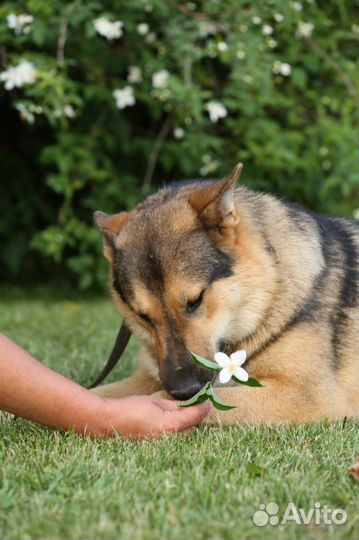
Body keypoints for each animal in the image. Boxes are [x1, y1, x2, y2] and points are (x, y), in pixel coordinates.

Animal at [90, 162, 359, 424]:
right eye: (143, 316)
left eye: (195, 300)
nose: (184, 390)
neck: (269, 297)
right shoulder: (145, 378)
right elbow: (95, 392)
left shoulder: (306, 396)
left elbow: (178, 397)